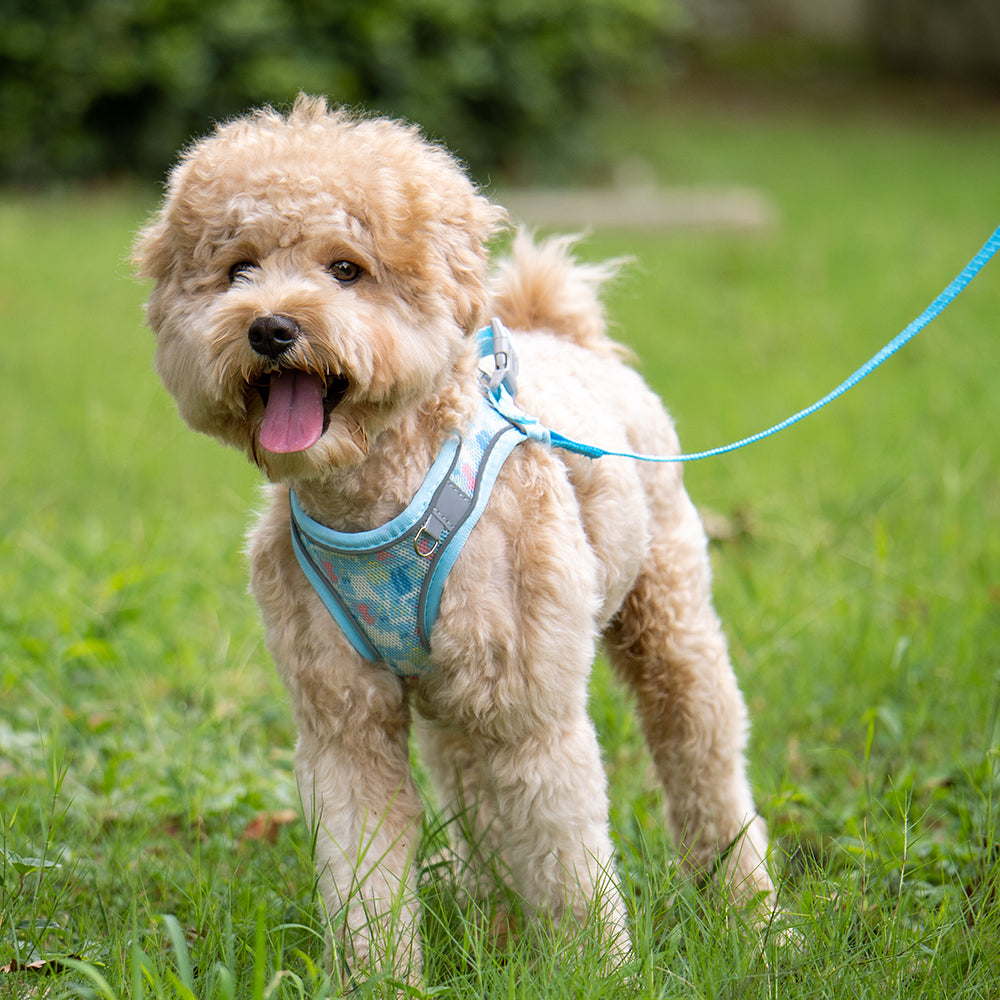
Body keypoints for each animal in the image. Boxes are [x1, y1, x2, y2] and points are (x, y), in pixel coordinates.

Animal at [133, 94, 772, 984]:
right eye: (238, 270)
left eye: (346, 269)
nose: (270, 328)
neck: (377, 496)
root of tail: (559, 330)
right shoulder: (343, 724)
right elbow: (363, 874)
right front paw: (382, 982)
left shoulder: (529, 715)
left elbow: (567, 860)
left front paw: (593, 973)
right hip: (452, 699)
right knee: (474, 797)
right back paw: (491, 918)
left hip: (667, 621)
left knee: (703, 762)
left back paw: (756, 919)